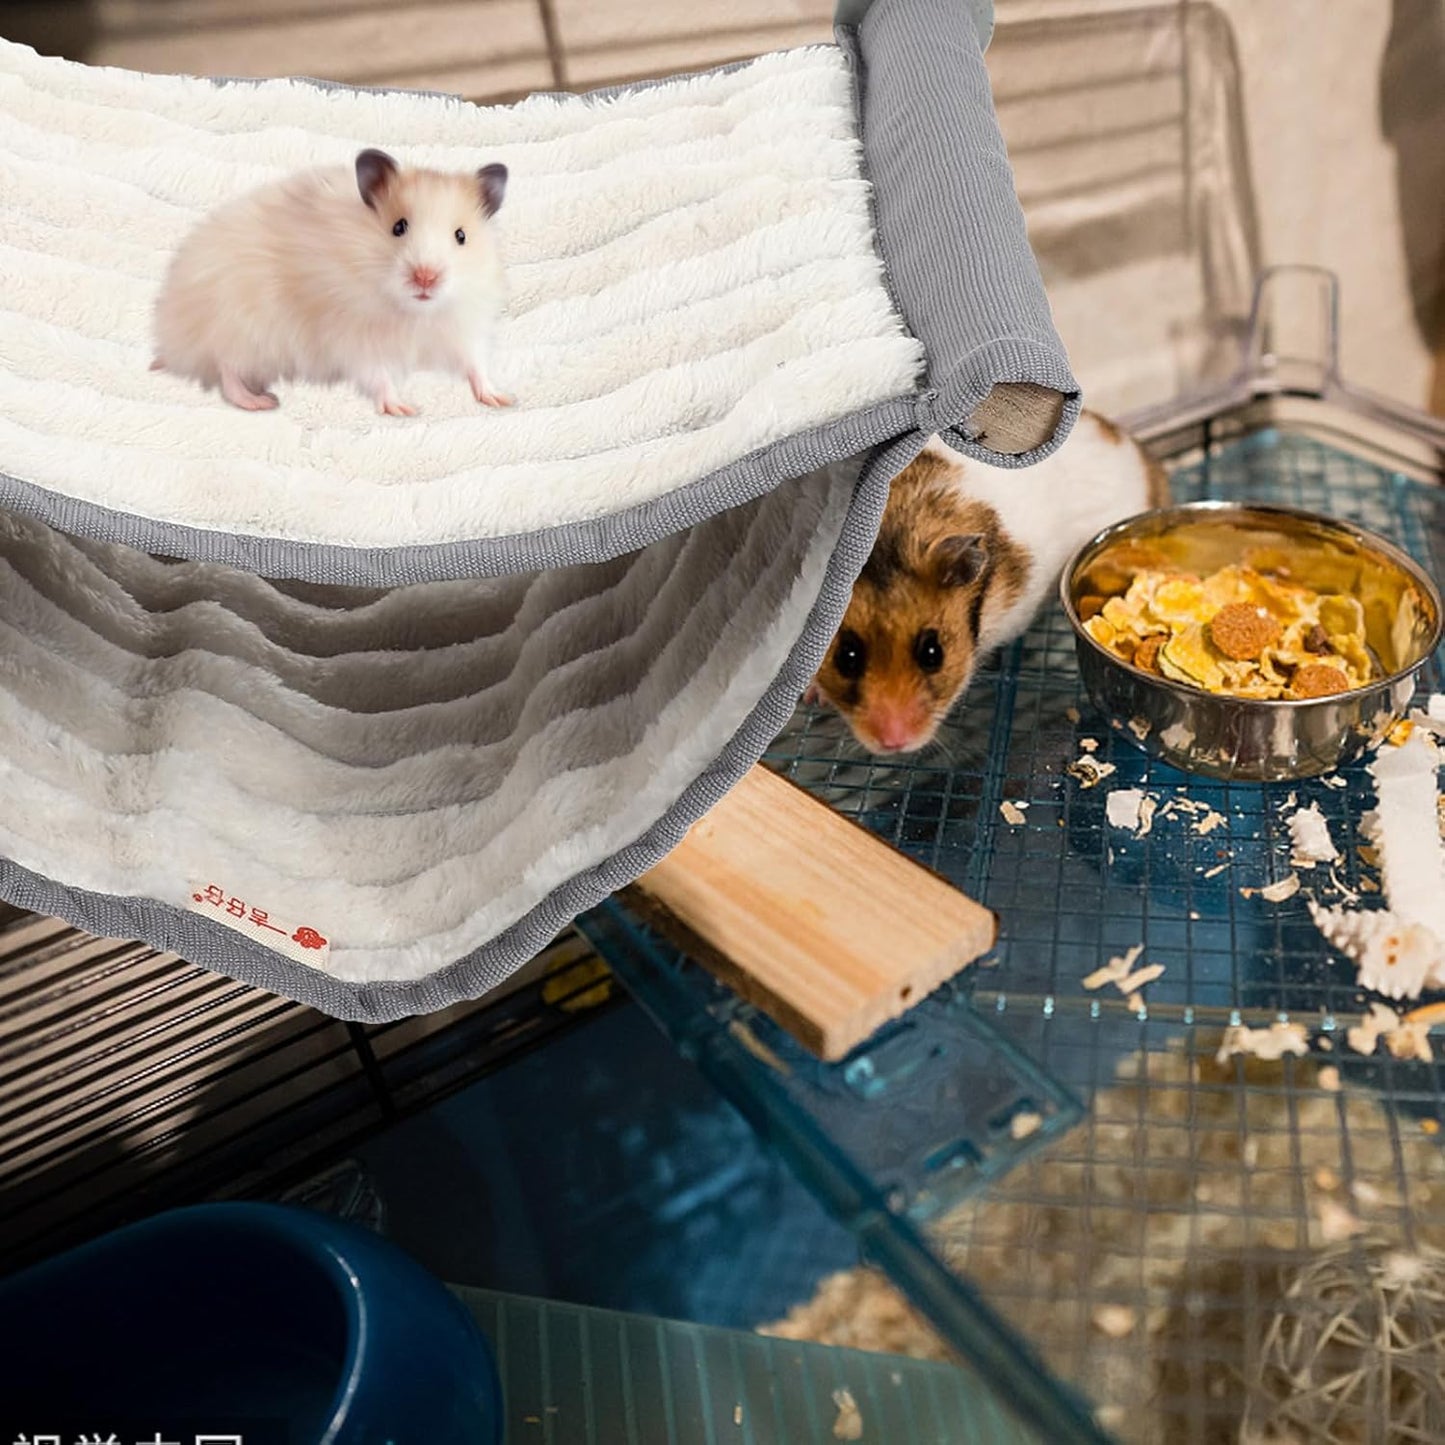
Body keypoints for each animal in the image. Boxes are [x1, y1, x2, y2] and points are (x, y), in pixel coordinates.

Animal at [151, 148, 511, 416]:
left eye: (461, 236)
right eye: (398, 227)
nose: (426, 277)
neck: (414, 312)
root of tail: (172, 339)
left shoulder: (461, 329)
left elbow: (475, 365)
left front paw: (501, 399)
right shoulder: (355, 338)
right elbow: (379, 375)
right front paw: (404, 409)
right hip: (241, 326)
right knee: (226, 369)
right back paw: (261, 401)